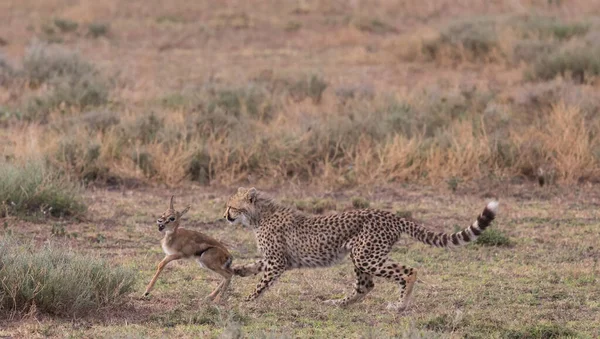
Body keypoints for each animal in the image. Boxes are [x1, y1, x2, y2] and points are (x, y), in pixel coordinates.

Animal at [224, 187, 496, 312]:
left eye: (231, 206)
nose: (224, 216)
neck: (259, 215)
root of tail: (392, 215)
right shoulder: (279, 259)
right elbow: (254, 266)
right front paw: (237, 270)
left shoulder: (278, 262)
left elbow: (261, 284)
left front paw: (245, 301)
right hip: (362, 256)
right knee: (366, 286)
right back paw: (338, 303)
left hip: (367, 256)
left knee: (408, 272)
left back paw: (399, 306)